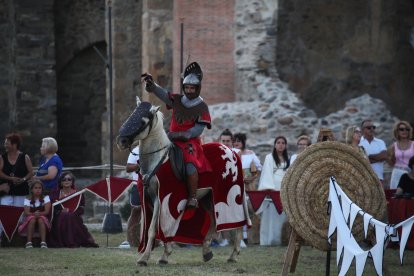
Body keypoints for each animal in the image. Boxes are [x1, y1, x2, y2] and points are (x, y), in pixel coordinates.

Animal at [115, 98, 249, 266]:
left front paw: (145, 258)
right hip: (207, 197)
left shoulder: (162, 199)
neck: (157, 158)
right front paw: (164, 256)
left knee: (237, 223)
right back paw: (206, 251)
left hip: (226, 193)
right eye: (131, 115)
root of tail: (231, 151)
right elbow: (153, 229)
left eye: (143, 121)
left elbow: (154, 229)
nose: (121, 141)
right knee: (213, 220)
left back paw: (233, 254)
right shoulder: (149, 198)